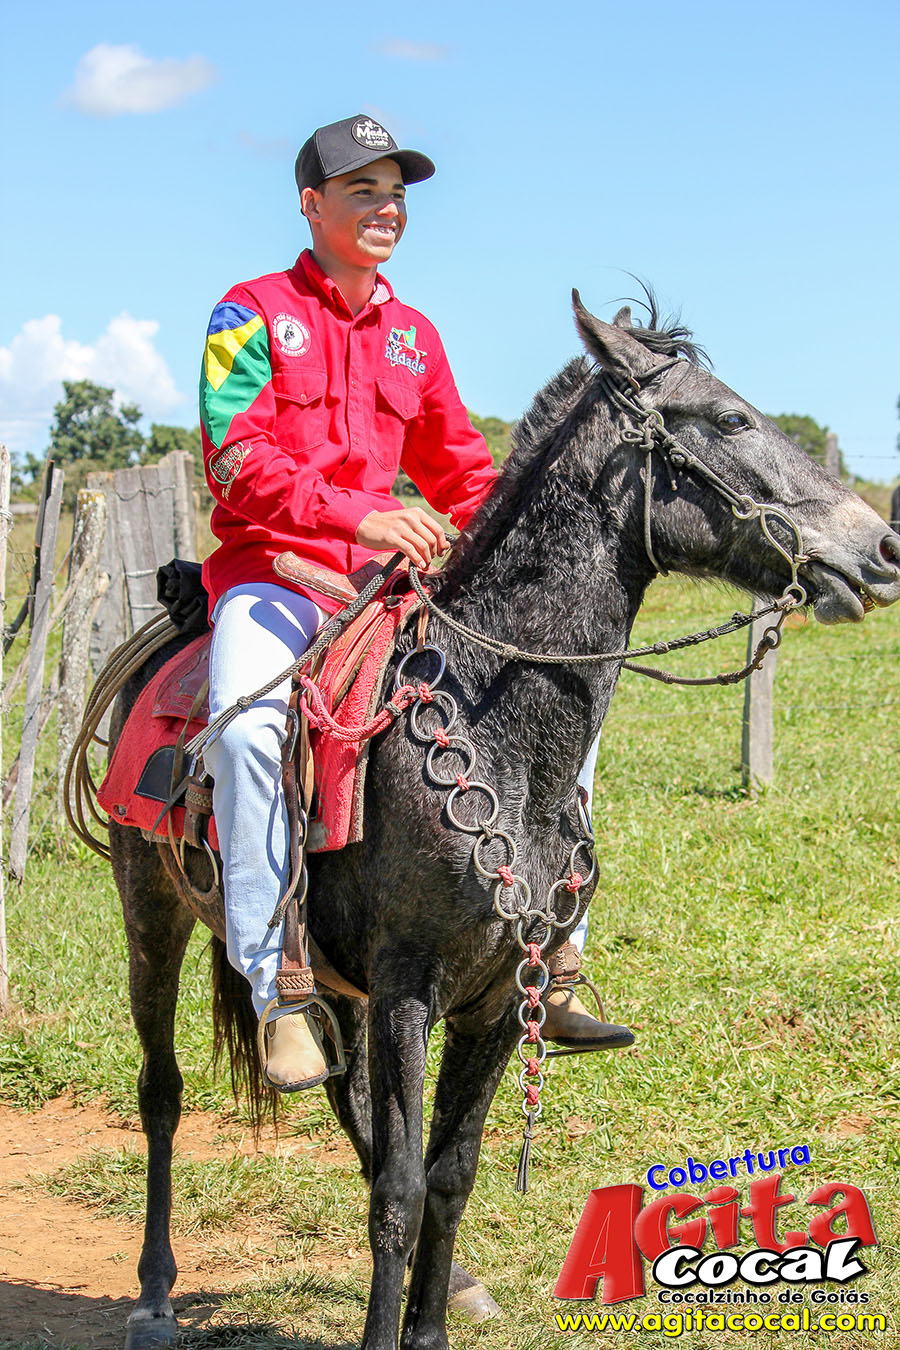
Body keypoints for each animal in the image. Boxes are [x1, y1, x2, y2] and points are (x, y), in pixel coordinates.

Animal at [108, 292, 900, 1349]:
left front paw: (436, 1318)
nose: (881, 546)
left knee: (350, 1104)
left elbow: (447, 1176)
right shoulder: (408, 990)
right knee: (163, 1092)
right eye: (730, 419)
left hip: (337, 986)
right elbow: (399, 1194)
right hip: (152, 916)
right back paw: (155, 1290)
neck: (497, 728)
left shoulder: (492, 1001)